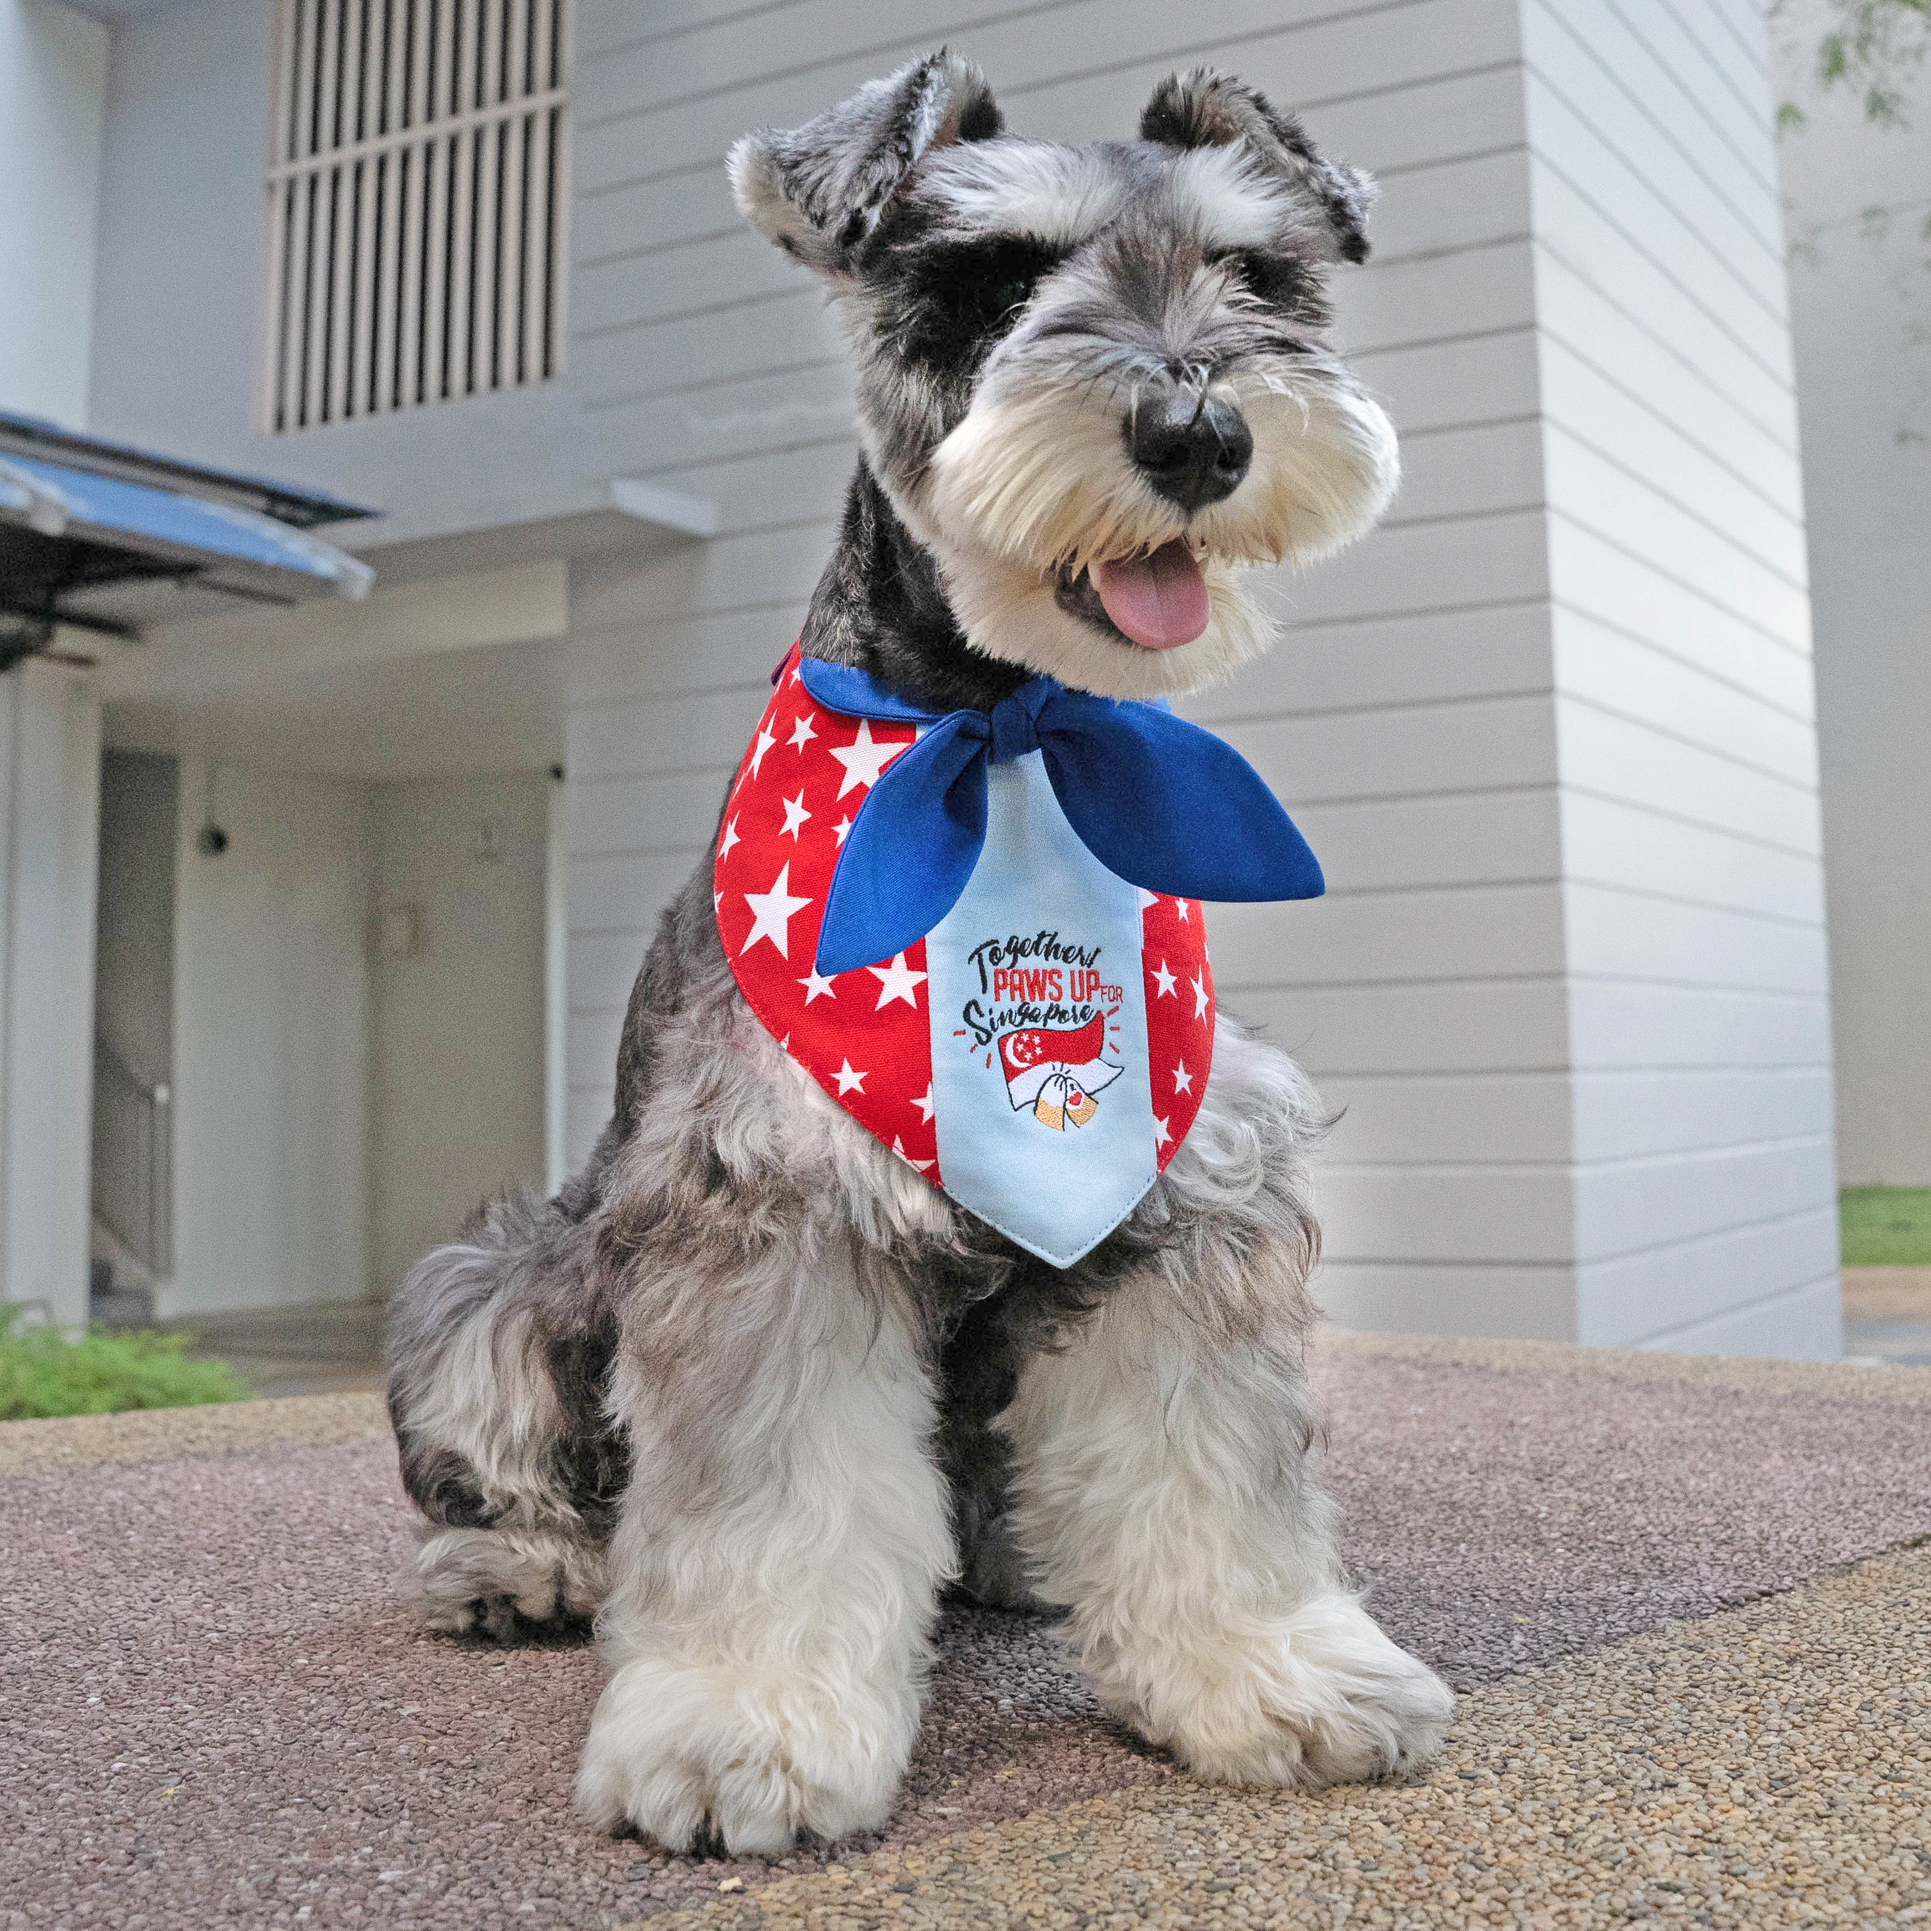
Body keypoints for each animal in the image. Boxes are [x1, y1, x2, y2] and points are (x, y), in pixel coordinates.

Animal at [388, 48, 1452, 1853]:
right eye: (991, 279)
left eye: (1259, 276)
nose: (1200, 429)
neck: (1008, 733)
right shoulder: (770, 1212)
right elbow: (774, 1499)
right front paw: (740, 1728)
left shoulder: (1189, 1198)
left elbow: (1207, 1465)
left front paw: (1272, 1672)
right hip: (501, 1283)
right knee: (524, 1461)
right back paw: (517, 1567)